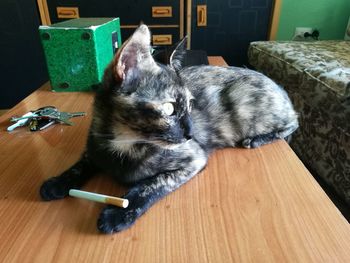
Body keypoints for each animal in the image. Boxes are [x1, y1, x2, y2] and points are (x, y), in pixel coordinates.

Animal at [40, 25, 298, 234]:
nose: (191, 134)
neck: (124, 144)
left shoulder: (193, 158)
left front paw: (119, 213)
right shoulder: (95, 143)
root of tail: (279, 86)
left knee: (294, 122)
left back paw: (256, 139)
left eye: (191, 104)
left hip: (245, 107)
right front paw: (57, 182)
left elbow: (151, 185)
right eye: (169, 108)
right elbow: (81, 163)